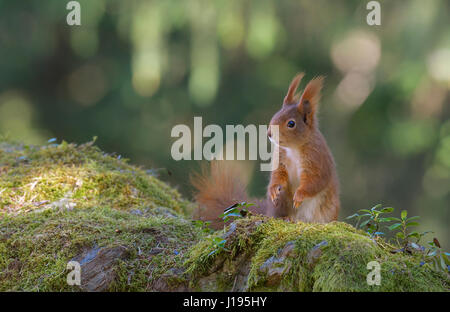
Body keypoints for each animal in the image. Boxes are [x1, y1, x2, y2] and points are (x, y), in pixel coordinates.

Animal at [191, 74, 342, 228]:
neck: (293, 149)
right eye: (275, 115)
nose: (269, 133)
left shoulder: (317, 158)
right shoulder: (280, 158)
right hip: (280, 204)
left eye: (291, 123)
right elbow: (278, 174)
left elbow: (316, 180)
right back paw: (285, 217)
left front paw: (300, 194)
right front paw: (274, 189)